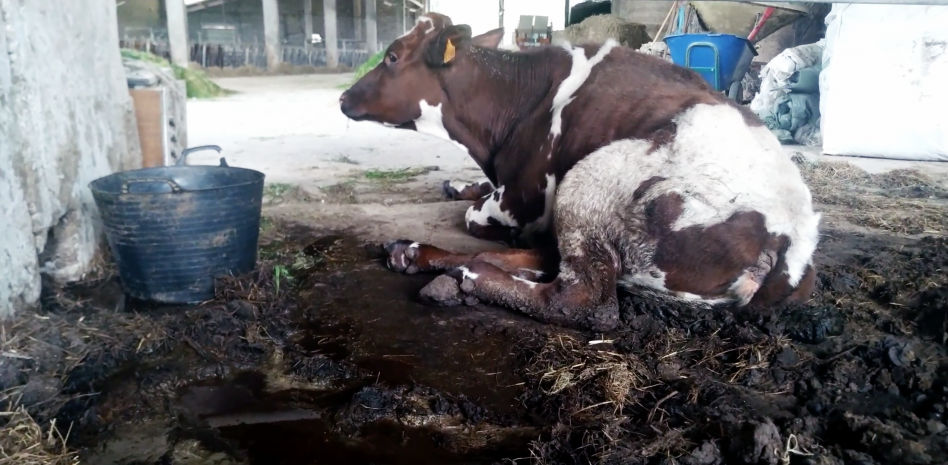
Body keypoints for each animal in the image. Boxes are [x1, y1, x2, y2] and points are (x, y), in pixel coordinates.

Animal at [339, 13, 820, 331]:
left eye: (392, 56)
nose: (343, 97)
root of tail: (793, 241)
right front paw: (460, 184)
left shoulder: (521, 201)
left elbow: (476, 218)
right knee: (549, 261)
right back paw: (414, 253)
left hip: (594, 177)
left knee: (584, 299)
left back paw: (469, 277)